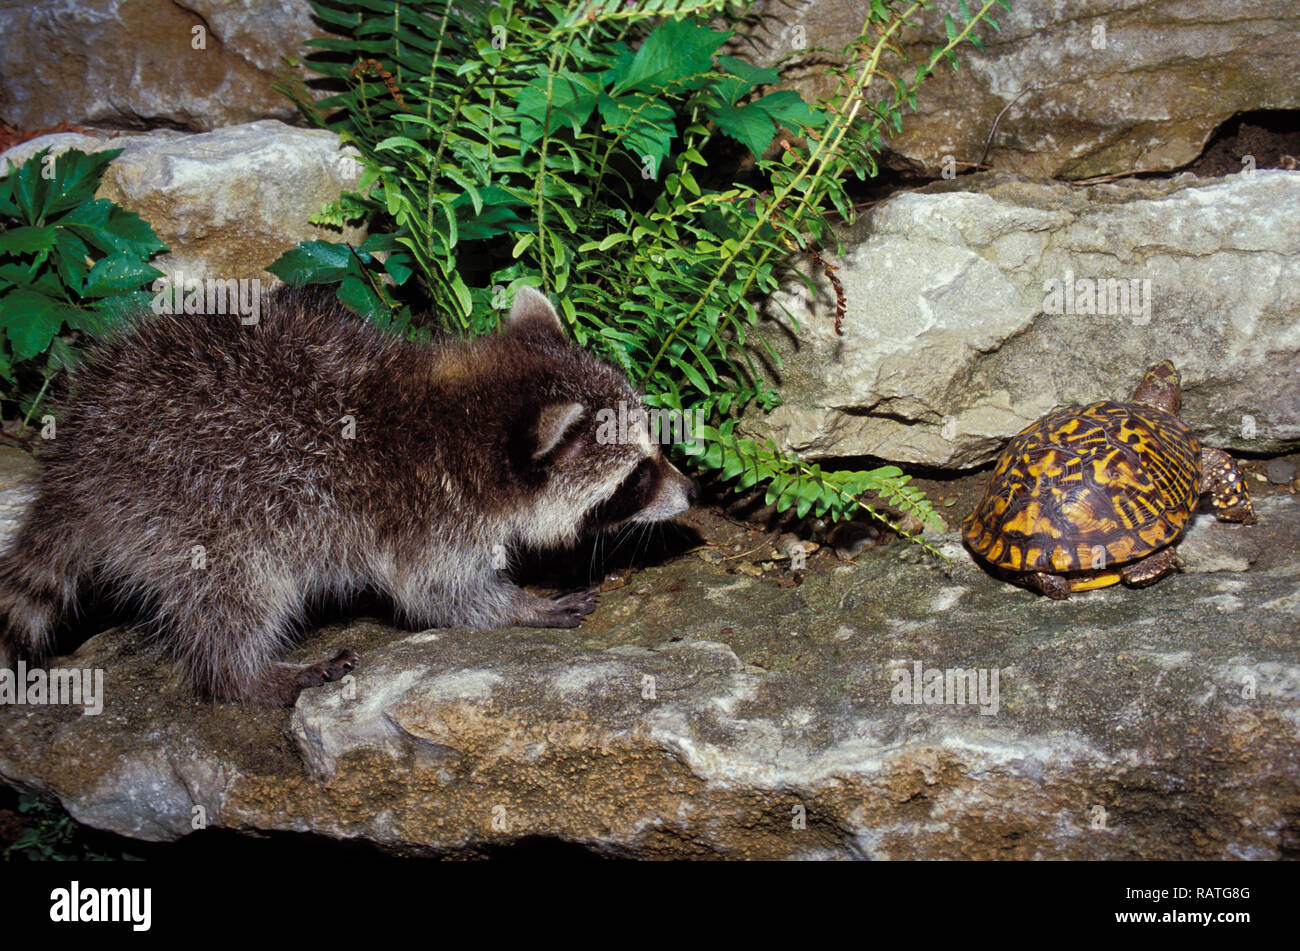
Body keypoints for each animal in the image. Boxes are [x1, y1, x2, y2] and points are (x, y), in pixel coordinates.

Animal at [0, 286, 695, 706]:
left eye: (654, 450)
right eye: (636, 477)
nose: (691, 491)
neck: (455, 412)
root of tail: (75, 466)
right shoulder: (428, 513)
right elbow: (437, 595)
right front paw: (521, 607)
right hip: (193, 511)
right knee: (233, 594)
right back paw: (244, 675)